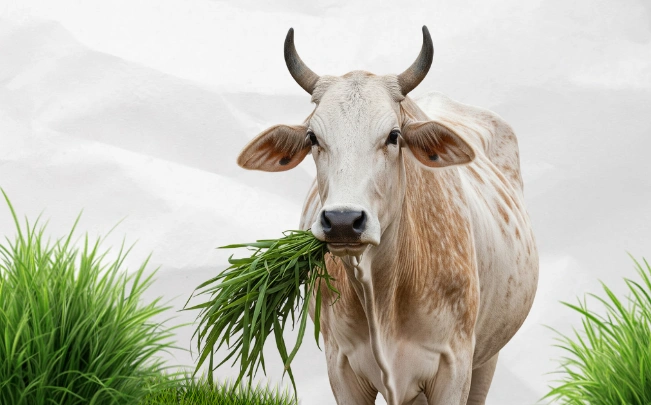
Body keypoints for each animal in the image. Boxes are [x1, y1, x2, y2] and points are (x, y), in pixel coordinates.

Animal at [237, 26, 539, 405]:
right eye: (313, 137)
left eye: (394, 135)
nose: (343, 221)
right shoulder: (342, 370)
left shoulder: (454, 369)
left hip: (487, 358)